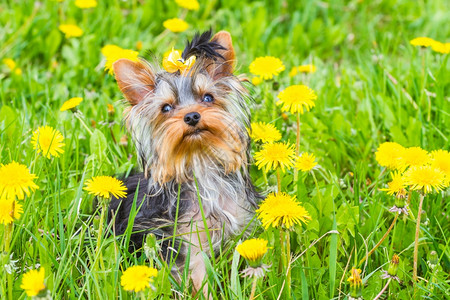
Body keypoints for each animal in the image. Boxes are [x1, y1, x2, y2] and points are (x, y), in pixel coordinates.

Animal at [108, 29, 260, 292]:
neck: (198, 160)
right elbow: (198, 274)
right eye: (166, 108)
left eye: (208, 97)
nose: (191, 116)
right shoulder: (188, 239)